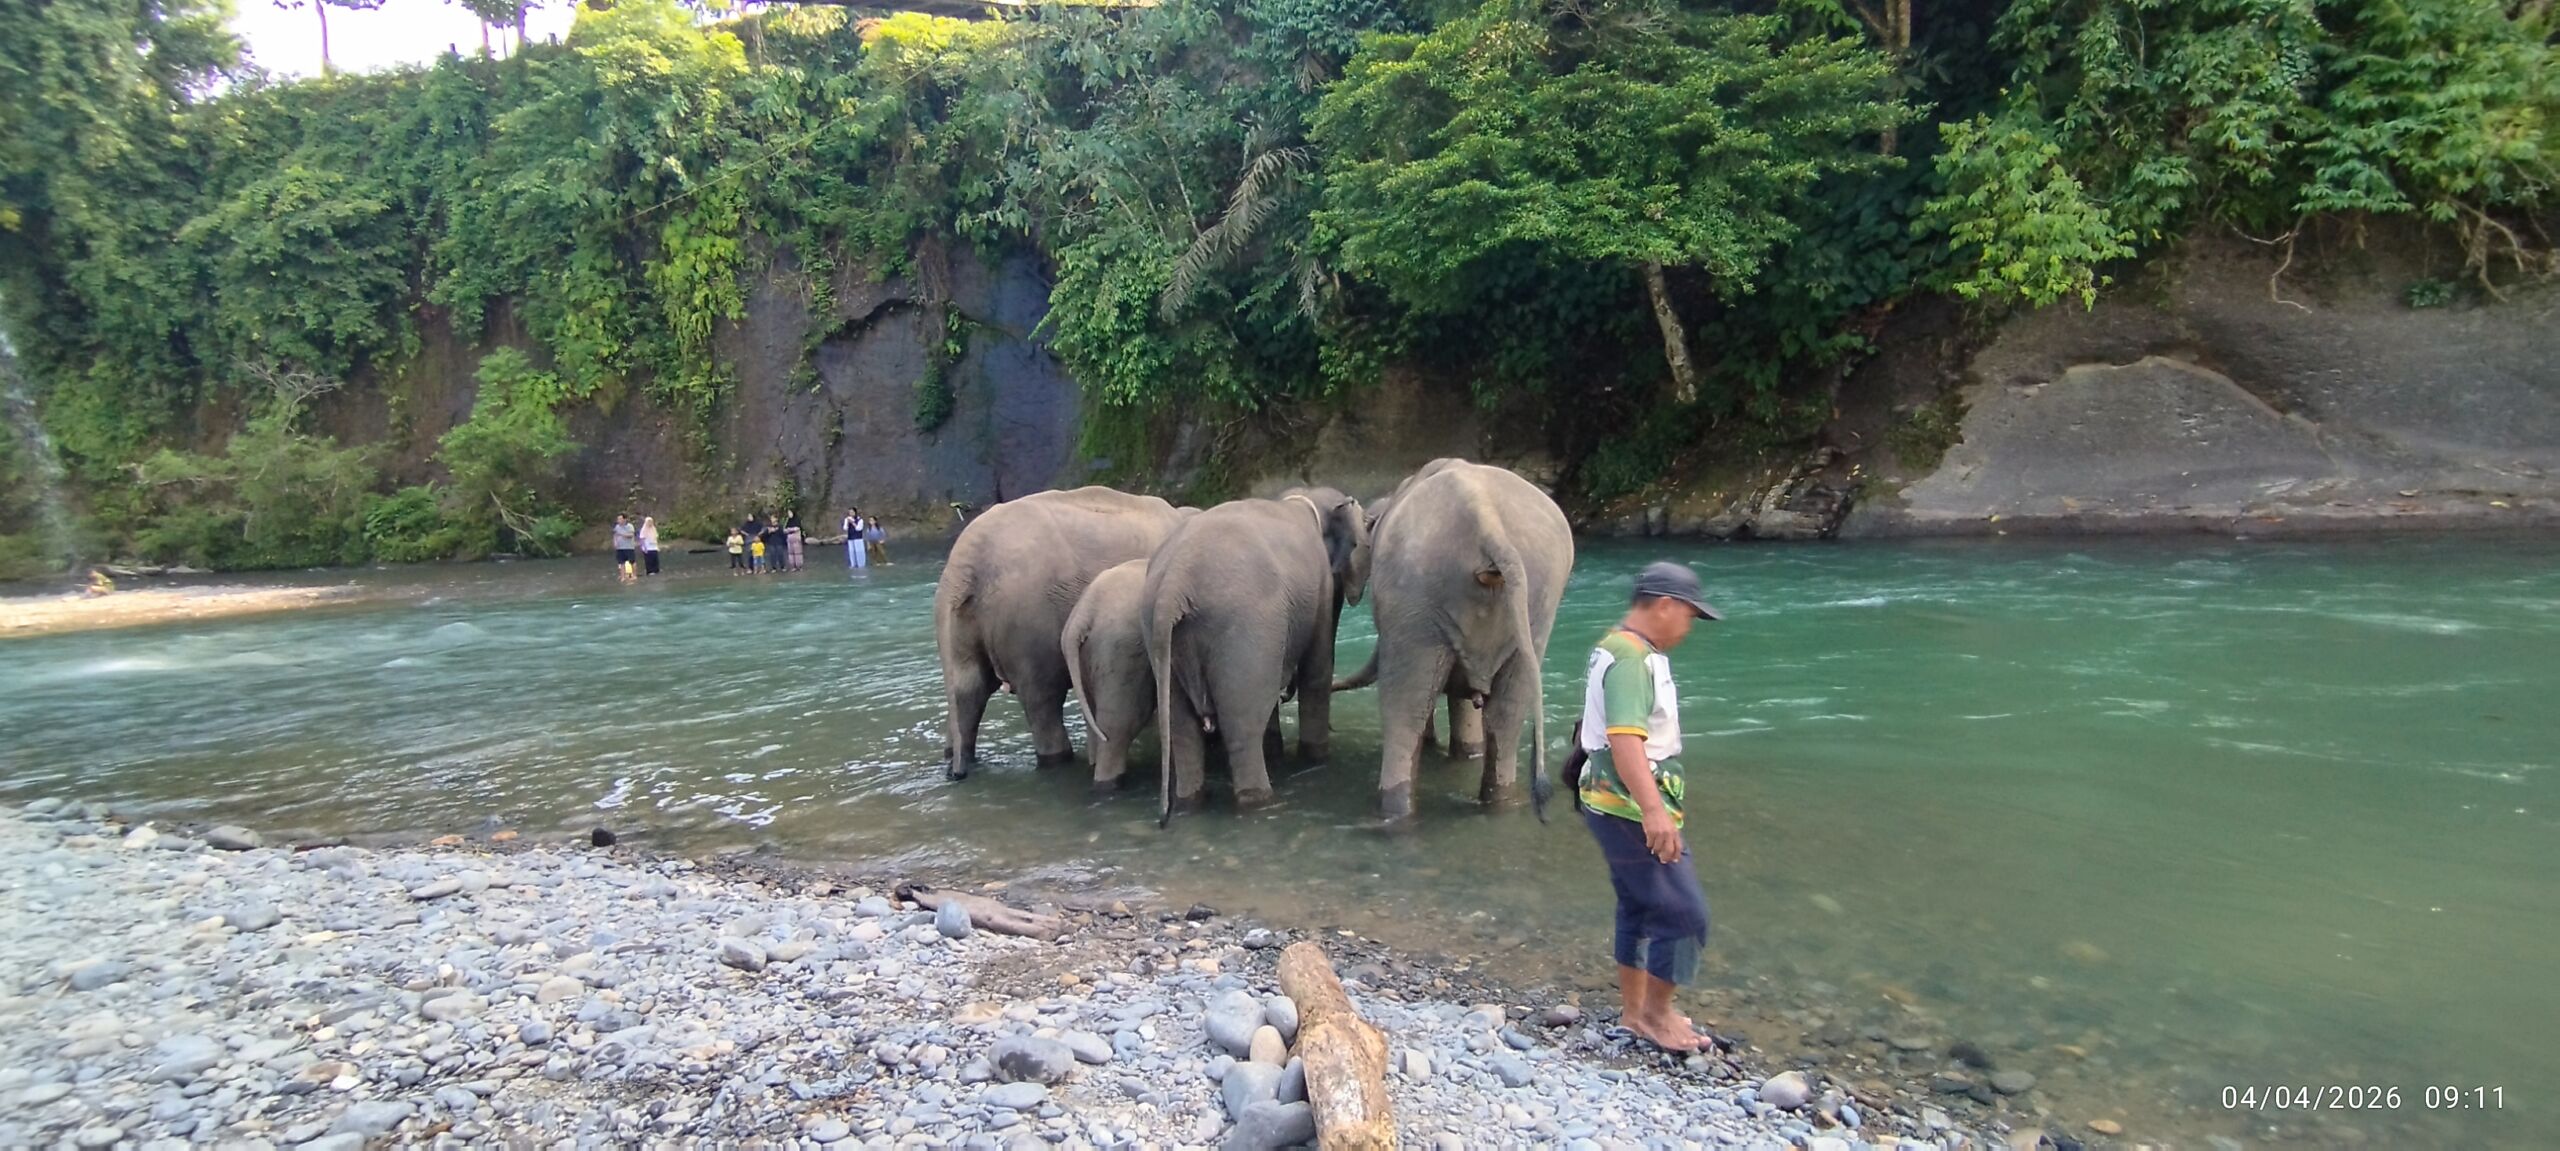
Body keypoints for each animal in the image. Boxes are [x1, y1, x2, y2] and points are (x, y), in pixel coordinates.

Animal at [936, 487, 1190, 779]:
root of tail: (964, 561)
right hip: (1029, 622)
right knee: (1042, 698)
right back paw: (1058, 760)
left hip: (965, 622)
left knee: (967, 690)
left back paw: (956, 763)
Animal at [1146, 487, 1372, 823]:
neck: (1302, 497)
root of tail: (1173, 584)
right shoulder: (1319, 587)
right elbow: (1317, 672)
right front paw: (1315, 758)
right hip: (1242, 631)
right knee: (1242, 729)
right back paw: (1261, 802)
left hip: (1162, 643)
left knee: (1182, 732)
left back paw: (1189, 804)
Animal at [1333, 459, 1574, 820]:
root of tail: (1489, 522)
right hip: (1538, 601)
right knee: (1507, 714)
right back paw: (1500, 803)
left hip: (1417, 597)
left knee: (1405, 715)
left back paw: (1393, 814)